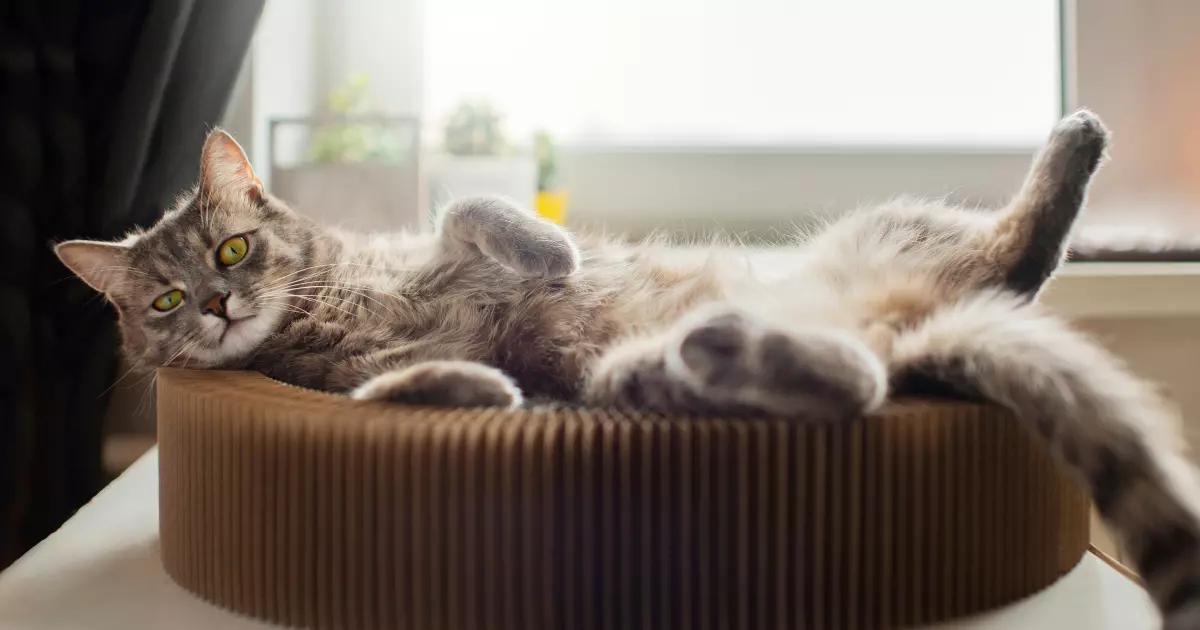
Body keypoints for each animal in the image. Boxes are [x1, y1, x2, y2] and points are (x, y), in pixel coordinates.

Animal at [56, 110, 1200, 624]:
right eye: (162, 301)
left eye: (232, 252)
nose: (214, 306)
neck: (335, 301)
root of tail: (909, 335)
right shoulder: (344, 384)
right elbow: (405, 383)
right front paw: (474, 387)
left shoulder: (432, 245)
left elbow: (474, 205)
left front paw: (550, 250)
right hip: (626, 376)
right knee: (874, 376)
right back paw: (740, 346)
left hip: (899, 224)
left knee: (1016, 253)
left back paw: (1076, 141)